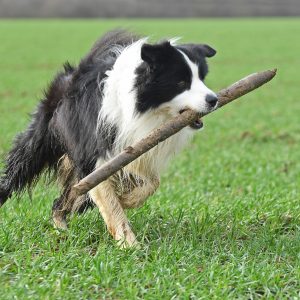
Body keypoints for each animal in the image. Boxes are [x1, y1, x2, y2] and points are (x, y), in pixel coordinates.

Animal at [0, 29, 216, 246]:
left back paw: (63, 225)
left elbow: (152, 182)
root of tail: (70, 74)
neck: (148, 111)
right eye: (181, 82)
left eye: (203, 78)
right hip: (45, 137)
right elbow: (110, 201)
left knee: (66, 198)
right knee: (23, 162)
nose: (214, 100)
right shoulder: (99, 150)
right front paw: (130, 245)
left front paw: (128, 200)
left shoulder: (137, 148)